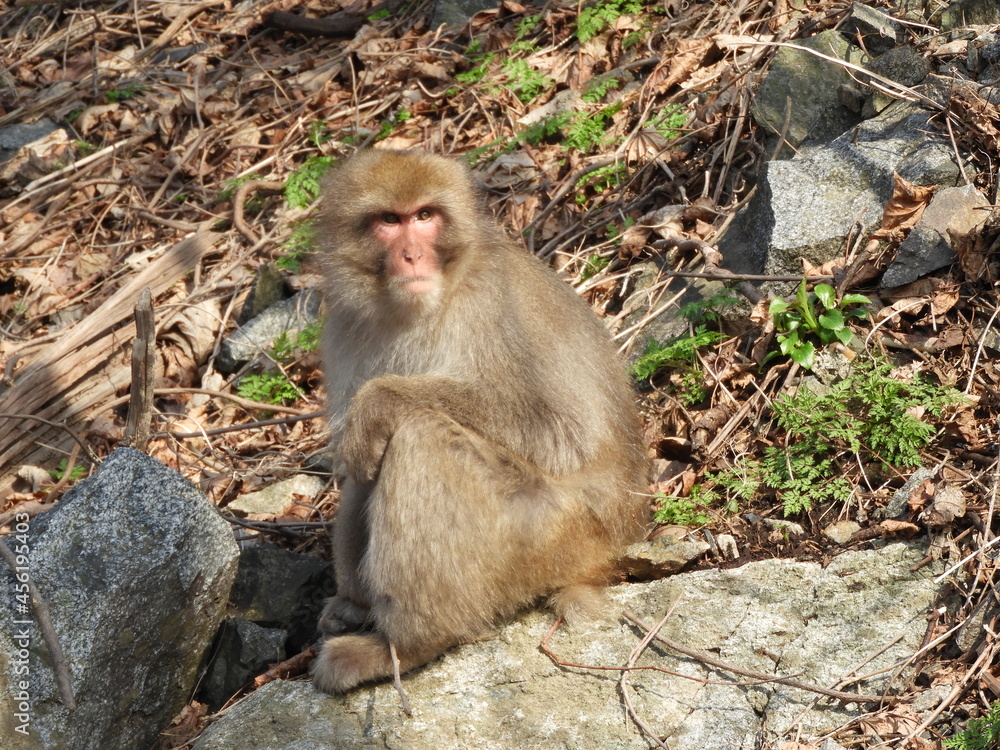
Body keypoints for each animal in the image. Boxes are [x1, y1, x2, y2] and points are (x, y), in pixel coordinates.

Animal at [312, 150, 652, 696]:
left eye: (425, 216)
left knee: (422, 435)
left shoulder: (490, 302)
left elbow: (559, 431)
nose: (411, 256)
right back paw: (357, 609)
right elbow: (358, 460)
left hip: (553, 536)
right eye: (389, 221)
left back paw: (407, 645)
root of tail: (621, 538)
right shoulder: (344, 326)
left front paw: (380, 398)